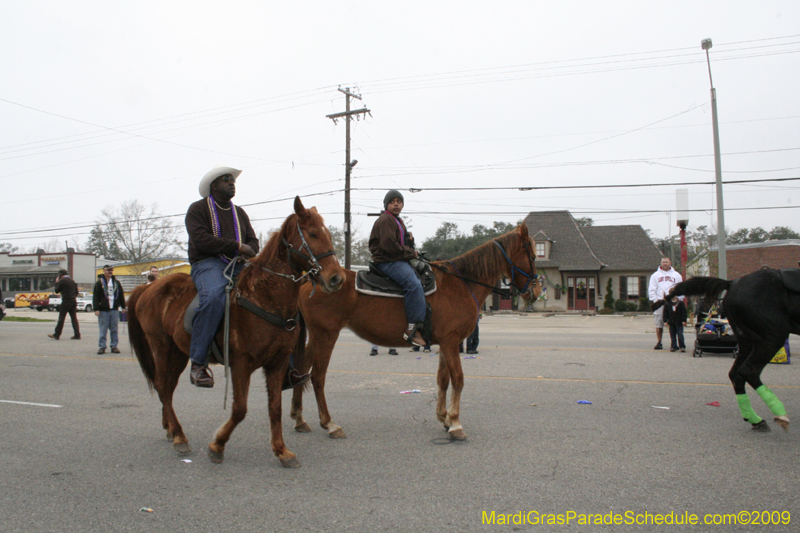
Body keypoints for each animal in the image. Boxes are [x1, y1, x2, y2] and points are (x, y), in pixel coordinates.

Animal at [127, 196, 344, 466]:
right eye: (313, 234)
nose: (336, 278)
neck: (265, 297)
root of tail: (148, 288)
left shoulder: (278, 363)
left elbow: (275, 407)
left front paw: (281, 450)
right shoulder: (241, 363)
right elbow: (240, 409)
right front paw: (217, 445)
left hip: (178, 352)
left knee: (166, 387)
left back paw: (170, 430)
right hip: (162, 347)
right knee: (162, 387)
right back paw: (179, 436)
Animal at [290, 222, 540, 438]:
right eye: (533, 256)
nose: (536, 291)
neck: (462, 283)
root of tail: (309, 280)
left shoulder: (445, 343)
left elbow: (443, 380)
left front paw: (444, 418)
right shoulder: (451, 342)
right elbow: (458, 379)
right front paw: (456, 423)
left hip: (317, 336)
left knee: (301, 370)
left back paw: (299, 419)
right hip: (325, 335)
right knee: (317, 375)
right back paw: (329, 424)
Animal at [672, 270, 796, 432]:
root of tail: (732, 283)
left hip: (749, 341)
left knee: (736, 373)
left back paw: (755, 418)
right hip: (772, 336)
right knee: (748, 372)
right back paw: (778, 414)